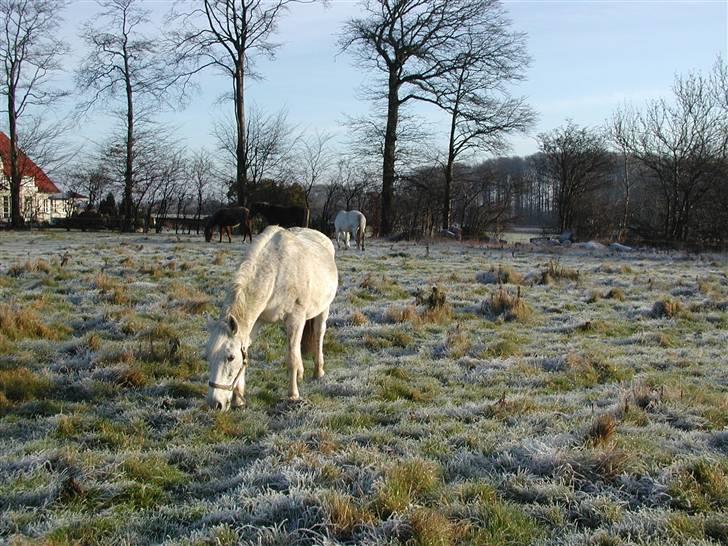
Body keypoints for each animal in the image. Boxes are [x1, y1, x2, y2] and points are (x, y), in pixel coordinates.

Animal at [206, 223, 340, 406]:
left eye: (231, 357)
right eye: (208, 357)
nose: (215, 403)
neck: (276, 272)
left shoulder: (295, 319)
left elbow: (291, 358)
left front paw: (293, 395)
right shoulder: (256, 322)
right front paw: (238, 399)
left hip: (323, 309)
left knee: (319, 334)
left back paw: (318, 371)